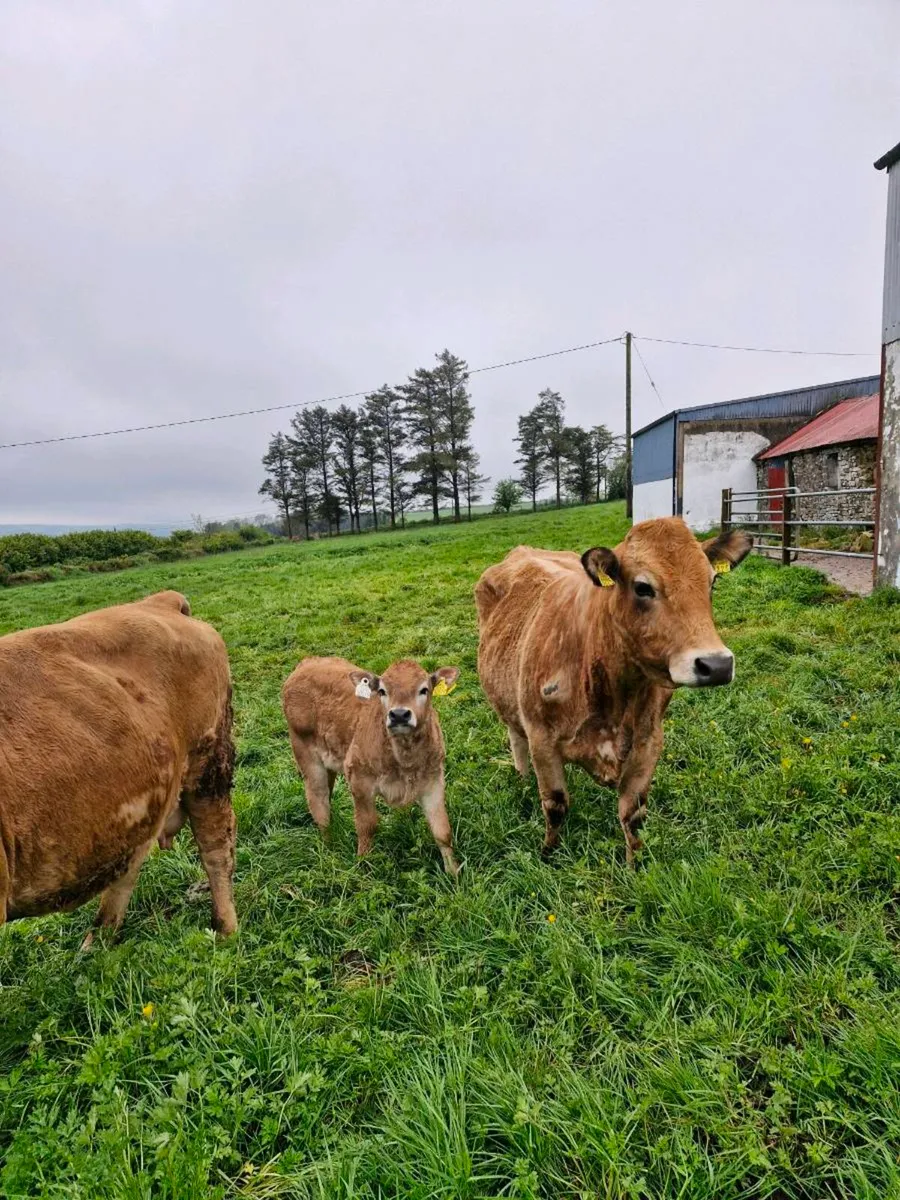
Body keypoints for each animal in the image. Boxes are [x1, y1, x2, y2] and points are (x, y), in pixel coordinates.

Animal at [0, 591, 237, 942]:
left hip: (208, 764)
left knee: (216, 847)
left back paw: (226, 929)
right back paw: (98, 941)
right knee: (130, 863)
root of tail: (160, 601)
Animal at [282, 657, 461, 874]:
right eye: (382, 691)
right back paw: (329, 847)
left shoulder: (434, 781)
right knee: (318, 800)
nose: (399, 714)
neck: (404, 758)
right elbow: (367, 826)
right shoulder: (359, 780)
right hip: (305, 753)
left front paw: (453, 873)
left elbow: (442, 831)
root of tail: (307, 662)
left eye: (424, 689)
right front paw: (363, 866)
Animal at [474, 518, 752, 861]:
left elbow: (633, 814)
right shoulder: (541, 738)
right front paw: (548, 854)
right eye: (642, 587)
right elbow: (555, 805)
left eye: (712, 582)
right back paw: (523, 778)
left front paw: (635, 865)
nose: (717, 665)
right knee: (516, 737)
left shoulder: (649, 742)